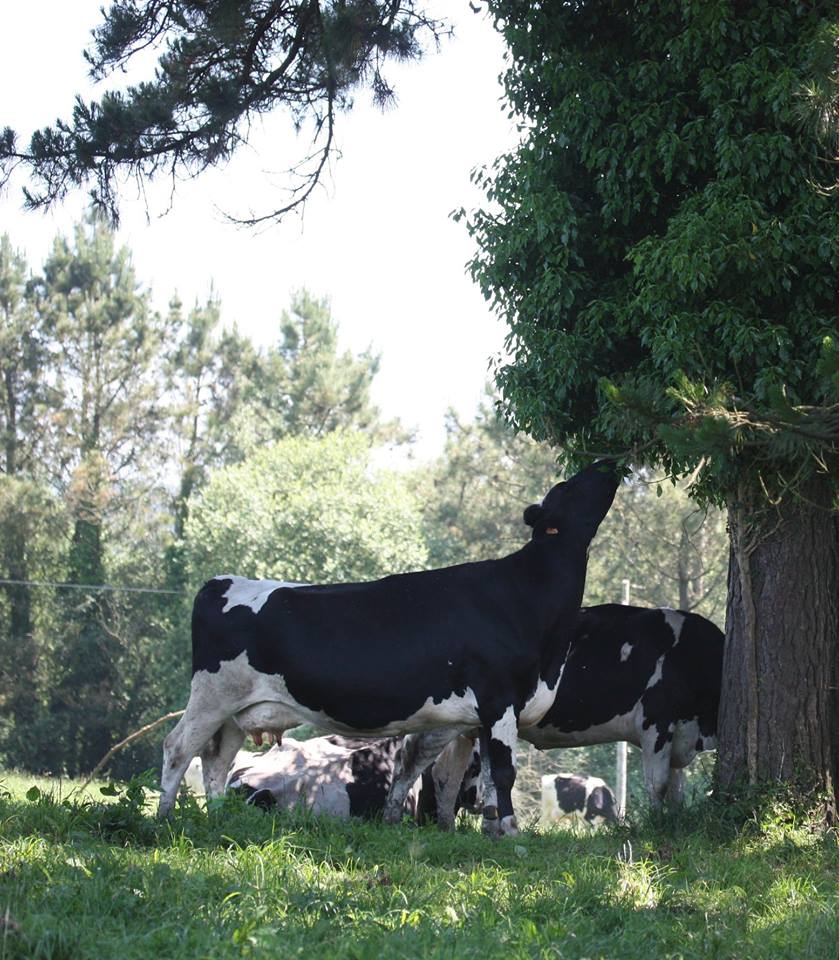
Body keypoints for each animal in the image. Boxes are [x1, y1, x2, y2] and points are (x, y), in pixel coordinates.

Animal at [157, 459, 622, 837]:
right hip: (212, 696)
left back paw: (217, 815)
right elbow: (505, 772)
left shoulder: (490, 714)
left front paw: (493, 828)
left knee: (217, 760)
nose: (608, 461)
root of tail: (222, 581)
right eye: (567, 486)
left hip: (237, 711)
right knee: (179, 748)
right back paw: (164, 817)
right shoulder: (499, 698)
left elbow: (489, 775)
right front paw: (510, 830)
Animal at [397, 604, 724, 823]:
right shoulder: (656, 723)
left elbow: (677, 789)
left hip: (466, 729)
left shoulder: (681, 731)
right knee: (419, 762)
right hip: (443, 722)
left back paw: (446, 826)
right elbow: (659, 784)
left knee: (446, 774)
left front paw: (673, 819)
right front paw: (656, 823)